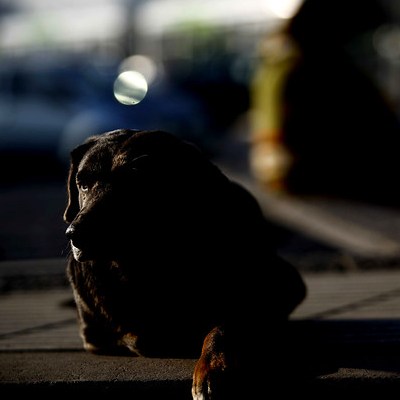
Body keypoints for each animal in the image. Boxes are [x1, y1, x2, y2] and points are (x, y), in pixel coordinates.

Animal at [63, 128, 306, 399]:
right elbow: (133, 335)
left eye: (133, 183)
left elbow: (223, 327)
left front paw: (213, 370)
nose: (75, 234)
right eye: (83, 184)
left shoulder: (260, 297)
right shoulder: (95, 333)